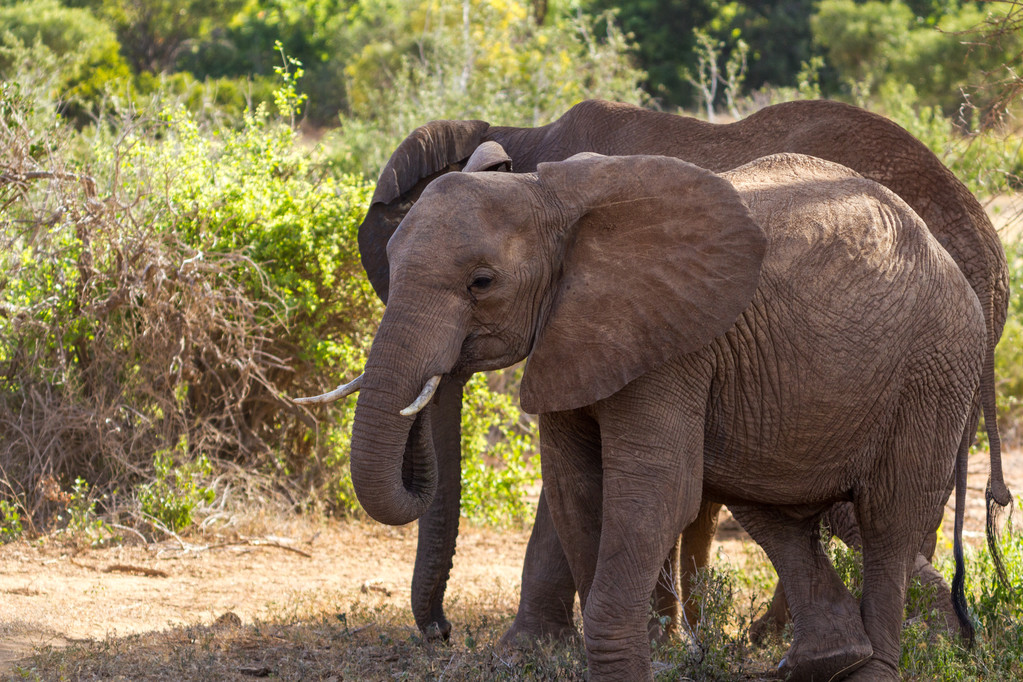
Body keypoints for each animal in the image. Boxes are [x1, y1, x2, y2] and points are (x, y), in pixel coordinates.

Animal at [300, 100, 1006, 642]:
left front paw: (530, 647)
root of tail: (986, 244)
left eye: (481, 283)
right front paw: (663, 636)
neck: (524, 148)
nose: (442, 633)